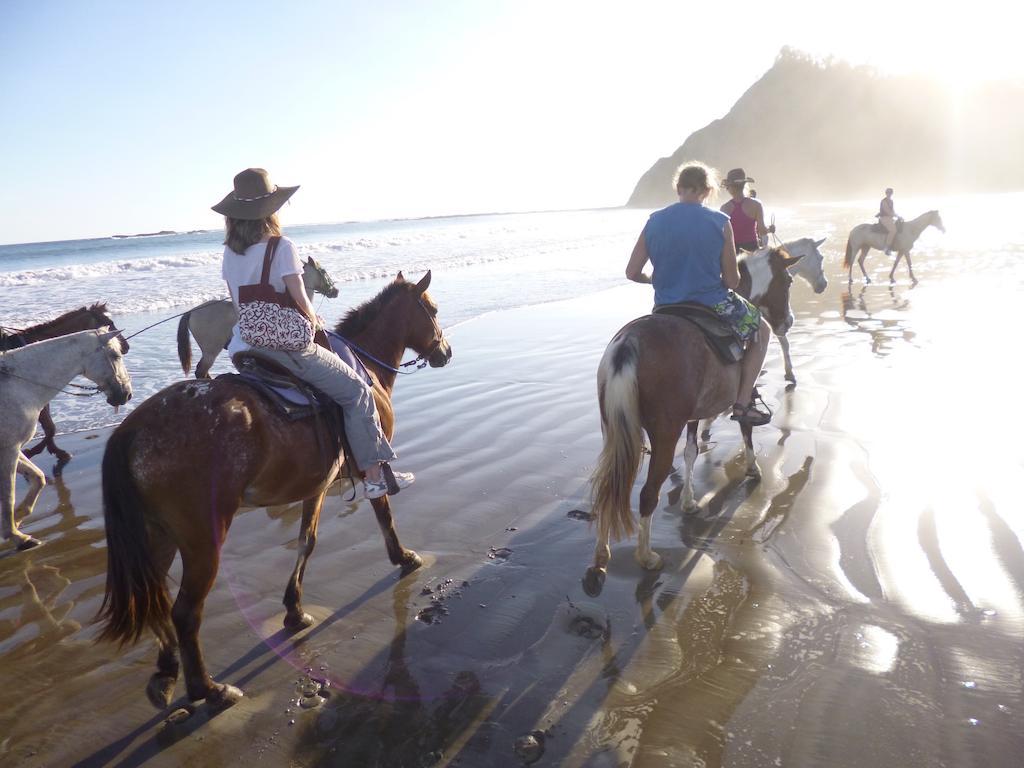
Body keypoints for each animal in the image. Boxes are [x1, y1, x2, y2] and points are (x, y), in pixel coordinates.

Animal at [0, 331, 134, 552]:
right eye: (116, 355)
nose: (127, 394)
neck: (20, 385)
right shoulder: (8, 450)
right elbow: (9, 496)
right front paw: (20, 538)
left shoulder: (13, 449)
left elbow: (38, 478)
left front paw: (18, 519)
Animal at [97, 274, 450, 712]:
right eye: (432, 309)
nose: (445, 351)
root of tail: (132, 430)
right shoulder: (369, 459)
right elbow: (383, 512)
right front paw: (403, 557)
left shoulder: (316, 484)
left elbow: (306, 542)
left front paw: (294, 610)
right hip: (202, 540)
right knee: (184, 613)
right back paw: (209, 689)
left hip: (156, 535)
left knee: (156, 597)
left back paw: (165, 672)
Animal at [585, 249, 798, 598]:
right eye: (789, 280)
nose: (788, 321)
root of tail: (629, 343)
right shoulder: (740, 393)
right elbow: (745, 428)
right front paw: (752, 467)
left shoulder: (694, 414)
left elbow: (691, 452)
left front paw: (688, 502)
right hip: (663, 432)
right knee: (647, 494)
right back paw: (646, 557)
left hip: (613, 431)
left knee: (610, 485)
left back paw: (601, 558)